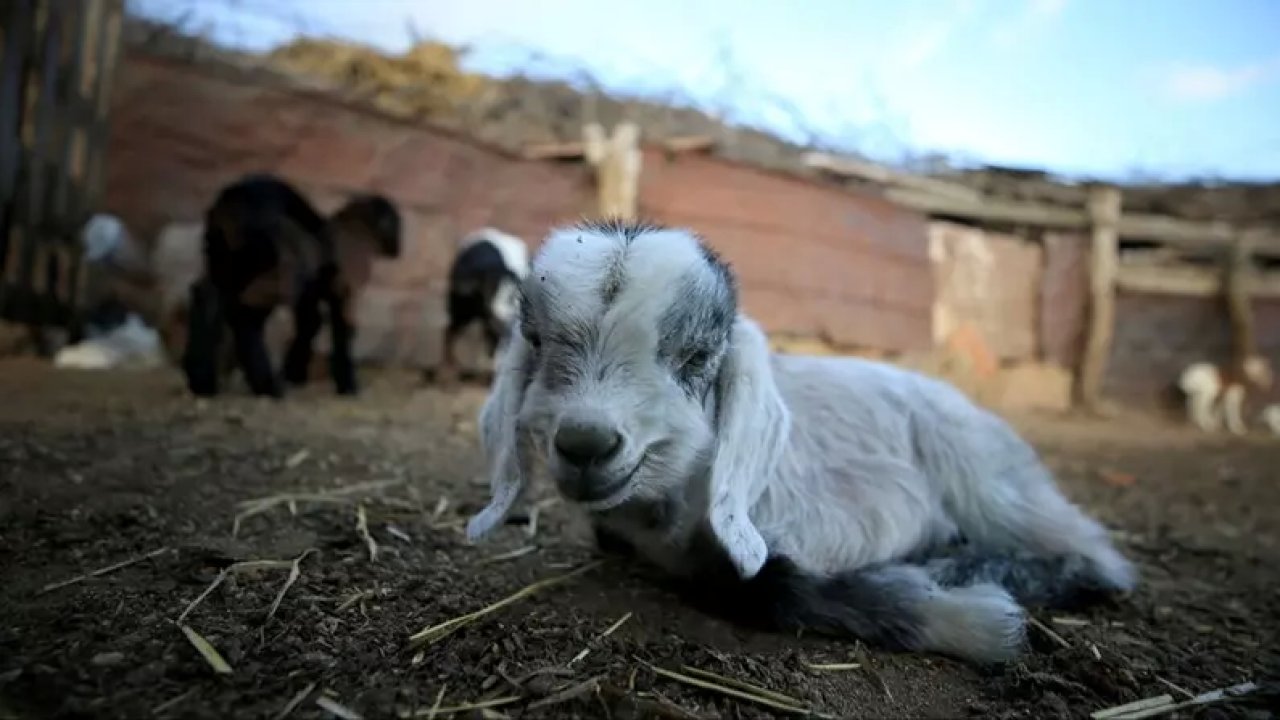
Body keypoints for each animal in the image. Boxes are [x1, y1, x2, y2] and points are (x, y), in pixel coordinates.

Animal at [181, 174, 399, 397]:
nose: (398, 248)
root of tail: (232, 197)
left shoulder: (311, 293)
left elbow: (311, 323)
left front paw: (295, 373)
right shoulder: (342, 289)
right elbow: (341, 329)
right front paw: (346, 384)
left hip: (222, 258)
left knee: (206, 296)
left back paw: (202, 380)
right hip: (273, 268)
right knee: (243, 314)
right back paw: (266, 385)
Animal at [471, 219, 1141, 661]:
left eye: (697, 356)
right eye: (535, 340)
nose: (586, 443)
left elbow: (767, 585)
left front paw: (977, 620)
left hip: (987, 479)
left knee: (1095, 559)